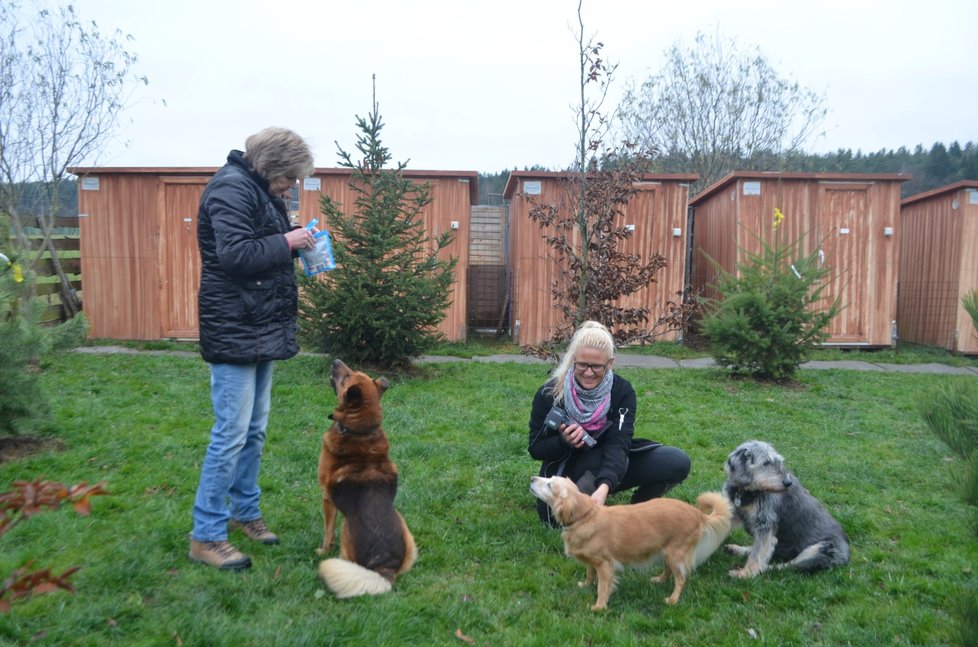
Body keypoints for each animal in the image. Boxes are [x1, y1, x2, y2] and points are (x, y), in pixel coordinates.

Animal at [316, 360, 416, 596]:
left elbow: (327, 531)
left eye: (347, 376)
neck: (359, 432)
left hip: (347, 533)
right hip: (408, 534)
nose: (335, 361)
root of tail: (385, 567)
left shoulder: (327, 498)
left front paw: (322, 550)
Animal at [528, 476, 728, 612]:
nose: (532, 478)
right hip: (666, 551)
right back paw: (659, 580)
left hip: (675, 553)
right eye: (549, 478)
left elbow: (602, 587)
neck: (585, 517)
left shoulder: (605, 565)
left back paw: (672, 599)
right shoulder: (593, 561)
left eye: (549, 485)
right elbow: (590, 573)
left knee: (681, 579)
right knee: (668, 570)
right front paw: (585, 585)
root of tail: (698, 514)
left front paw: (599, 607)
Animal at [720, 440, 852, 576]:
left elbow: (757, 555)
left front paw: (746, 574)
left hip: (819, 550)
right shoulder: (734, 512)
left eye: (779, 462)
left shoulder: (765, 526)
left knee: (785, 566)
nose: (788, 483)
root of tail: (847, 556)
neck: (746, 492)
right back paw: (737, 549)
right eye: (766, 462)